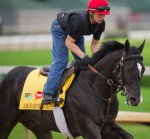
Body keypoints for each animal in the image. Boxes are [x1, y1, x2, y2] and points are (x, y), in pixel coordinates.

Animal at [0, 39, 145, 139]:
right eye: (128, 69)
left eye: (142, 69)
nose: (135, 99)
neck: (94, 87)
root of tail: (9, 75)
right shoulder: (88, 127)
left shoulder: (107, 126)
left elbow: (129, 136)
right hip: (7, 120)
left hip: (38, 125)